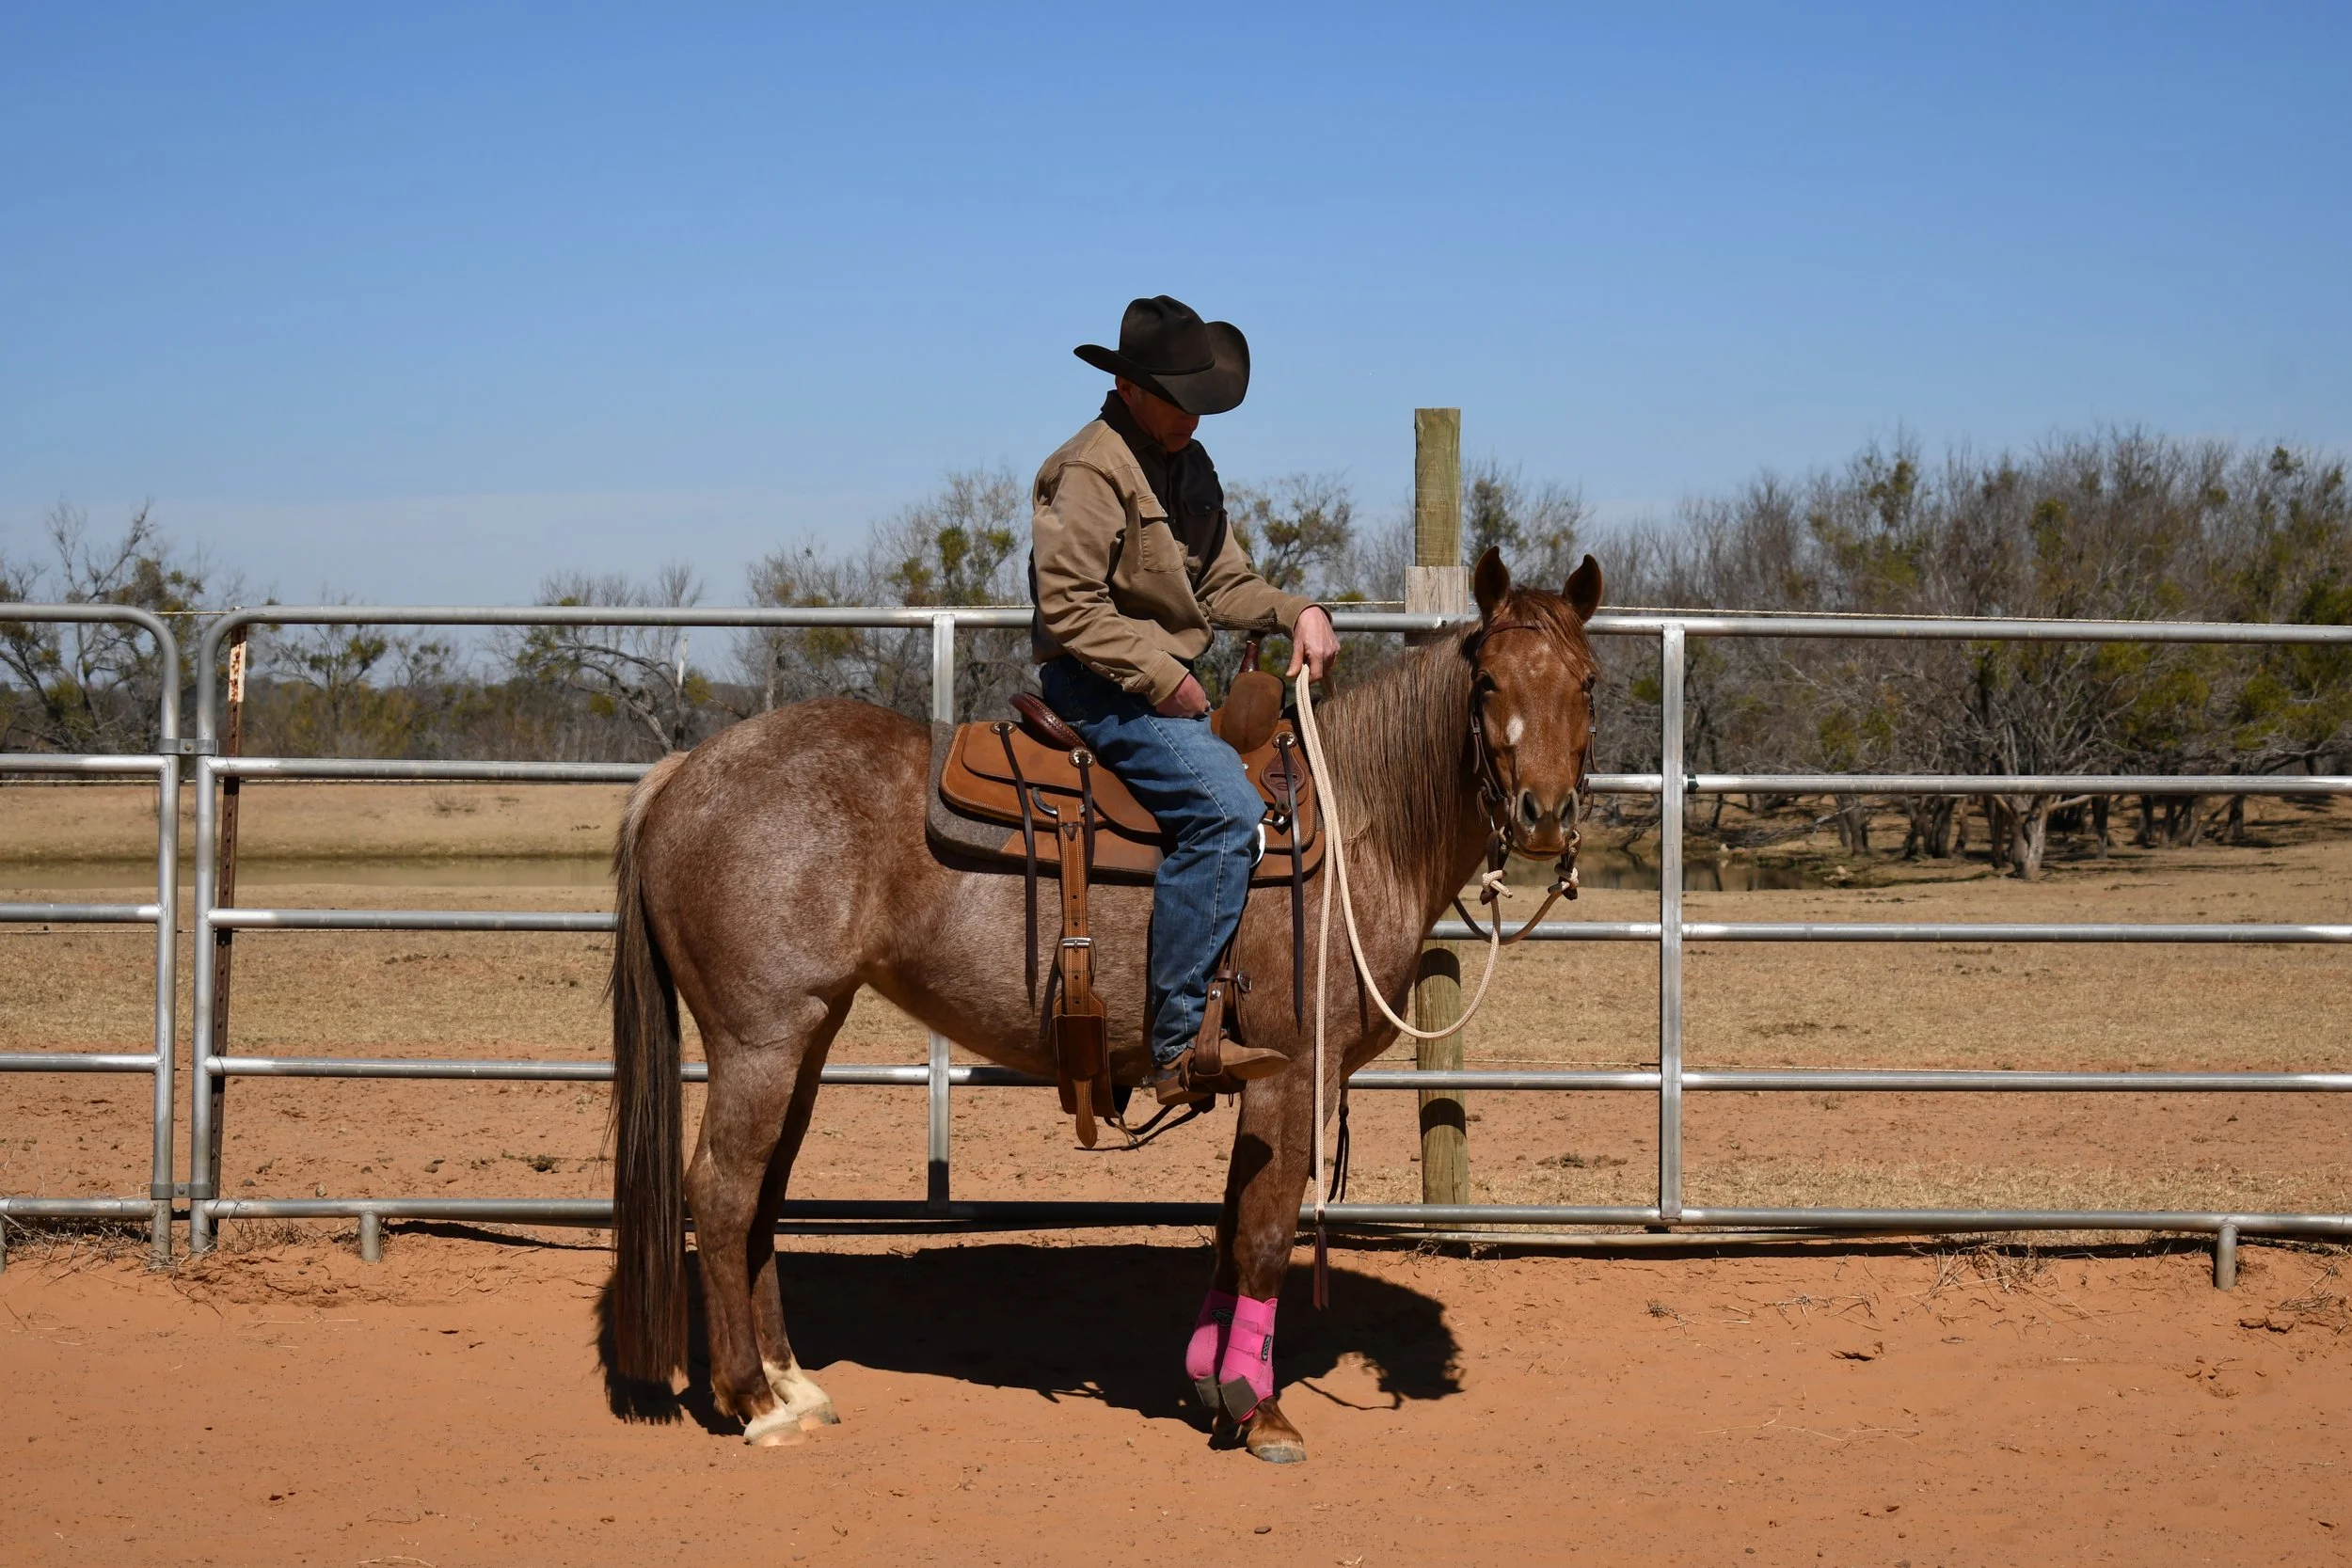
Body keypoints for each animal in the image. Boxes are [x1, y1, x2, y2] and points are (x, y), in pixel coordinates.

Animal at [605, 547, 1604, 1461]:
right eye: (1488, 680)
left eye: (1589, 682)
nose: (1543, 813)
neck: (1353, 825)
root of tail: (683, 770)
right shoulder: (1294, 1073)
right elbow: (1266, 1234)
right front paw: (1260, 1408)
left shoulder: (1261, 1080)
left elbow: (1230, 1227)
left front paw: (1211, 1383)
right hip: (758, 1039)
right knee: (722, 1191)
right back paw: (750, 1398)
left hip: (807, 1038)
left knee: (764, 1195)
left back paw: (792, 1383)